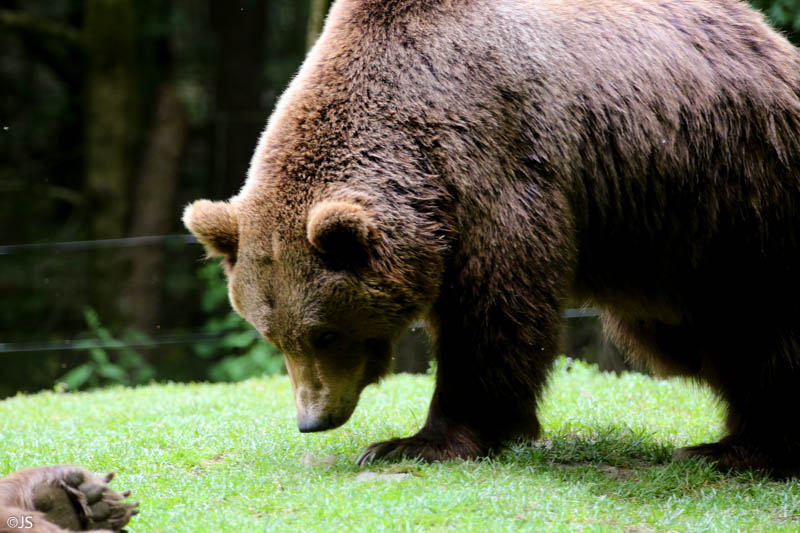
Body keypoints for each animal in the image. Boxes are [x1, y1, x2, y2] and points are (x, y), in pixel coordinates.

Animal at [183, 0, 800, 474]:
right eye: (273, 337)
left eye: (326, 334)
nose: (313, 419)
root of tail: (773, 38)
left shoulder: (498, 163)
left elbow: (494, 313)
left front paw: (415, 442)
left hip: (740, 191)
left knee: (761, 326)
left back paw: (738, 450)